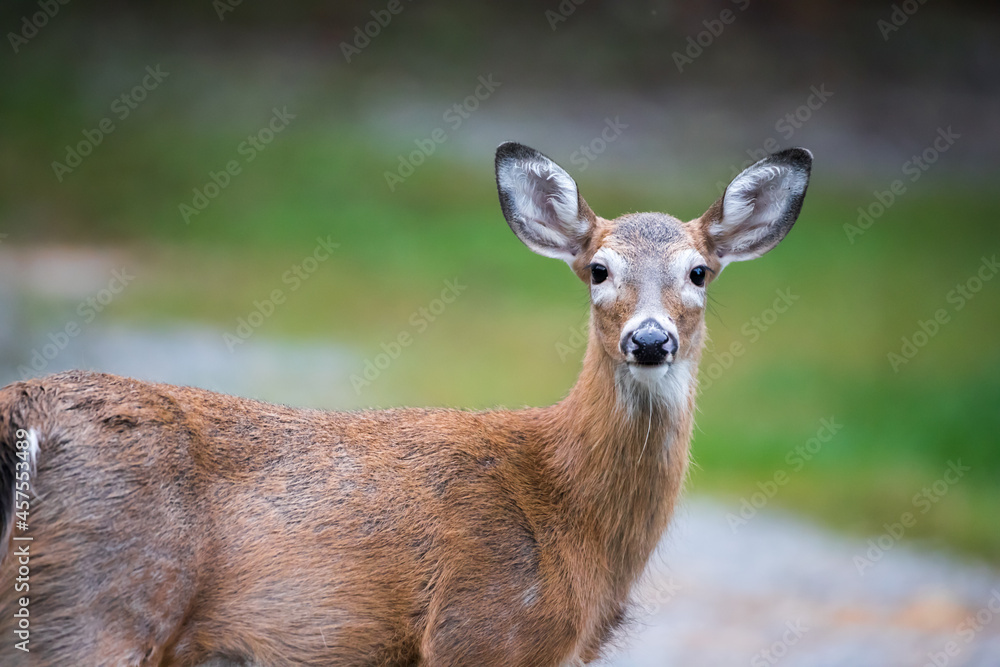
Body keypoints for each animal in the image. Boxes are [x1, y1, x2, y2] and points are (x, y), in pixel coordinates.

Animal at [0, 140, 808, 664]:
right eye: (599, 269)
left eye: (699, 271)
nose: (648, 339)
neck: (567, 509)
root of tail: (24, 414)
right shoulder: (478, 631)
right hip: (97, 600)